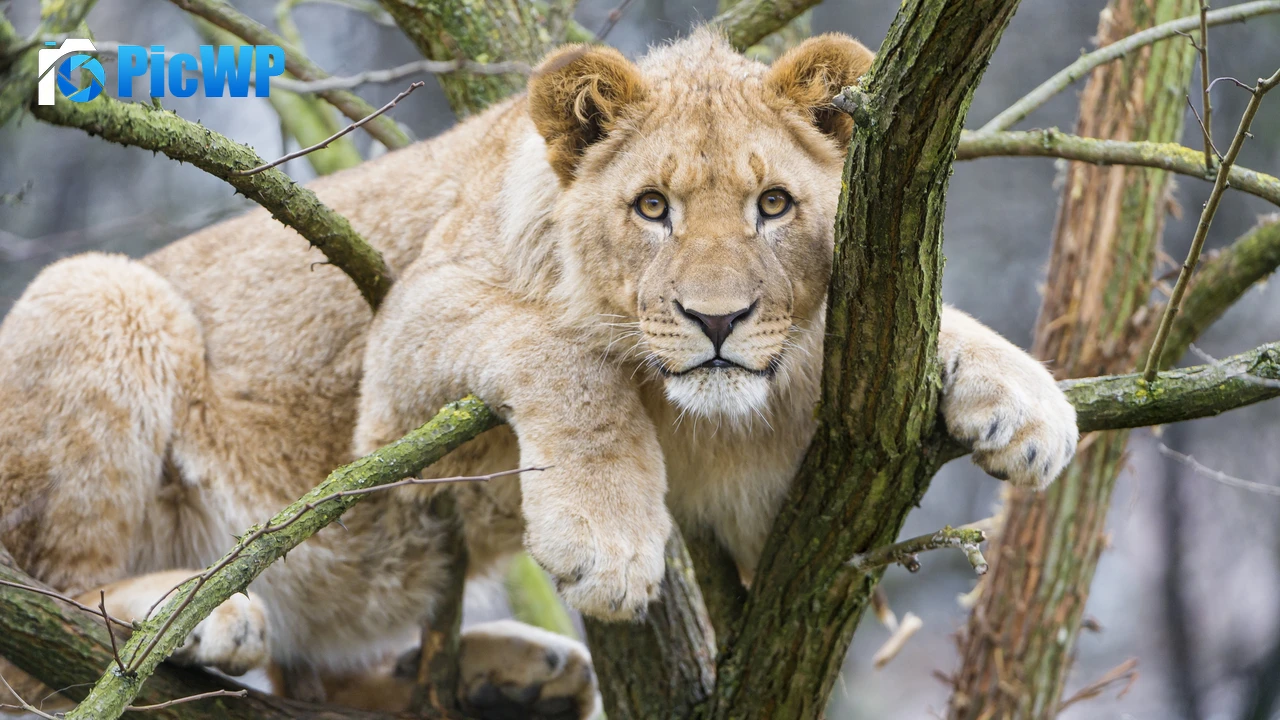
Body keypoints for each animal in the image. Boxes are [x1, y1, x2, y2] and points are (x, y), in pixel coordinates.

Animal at [0, 30, 1077, 718]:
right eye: (651, 208)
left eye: (774, 204)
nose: (716, 321)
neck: (690, 405)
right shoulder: (403, 351)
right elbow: (567, 352)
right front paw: (607, 540)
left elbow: (910, 323)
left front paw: (1029, 404)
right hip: (101, 291)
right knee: (55, 620)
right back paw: (194, 612)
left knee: (329, 683)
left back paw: (511, 679)